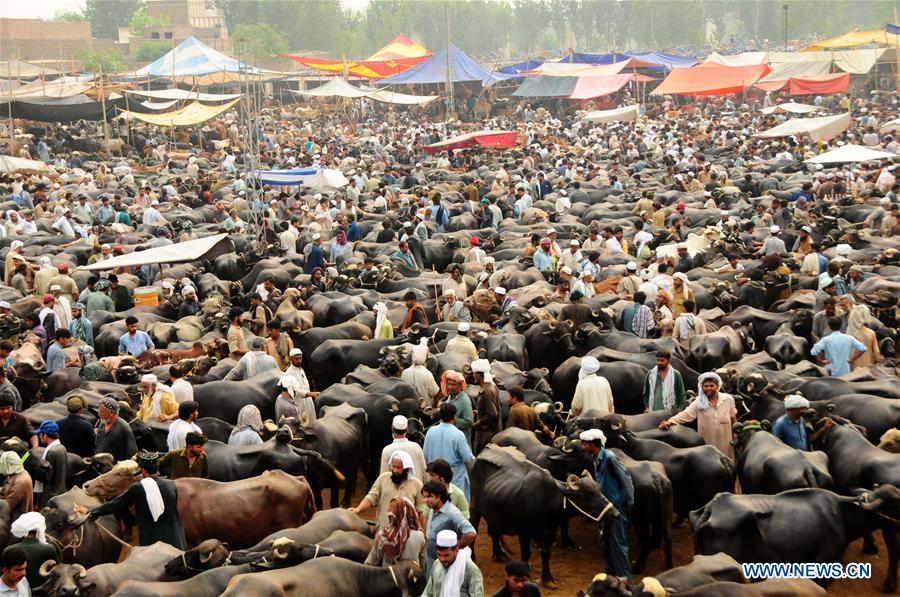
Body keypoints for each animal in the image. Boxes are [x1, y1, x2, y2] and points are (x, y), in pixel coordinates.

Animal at [468, 444, 616, 584]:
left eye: (600, 489)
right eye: (587, 494)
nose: (615, 514)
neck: (546, 500)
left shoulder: (549, 531)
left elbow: (545, 554)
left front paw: (547, 578)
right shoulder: (524, 532)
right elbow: (526, 554)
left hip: (494, 511)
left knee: (494, 532)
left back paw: (499, 554)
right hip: (475, 508)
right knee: (474, 529)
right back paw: (473, 557)